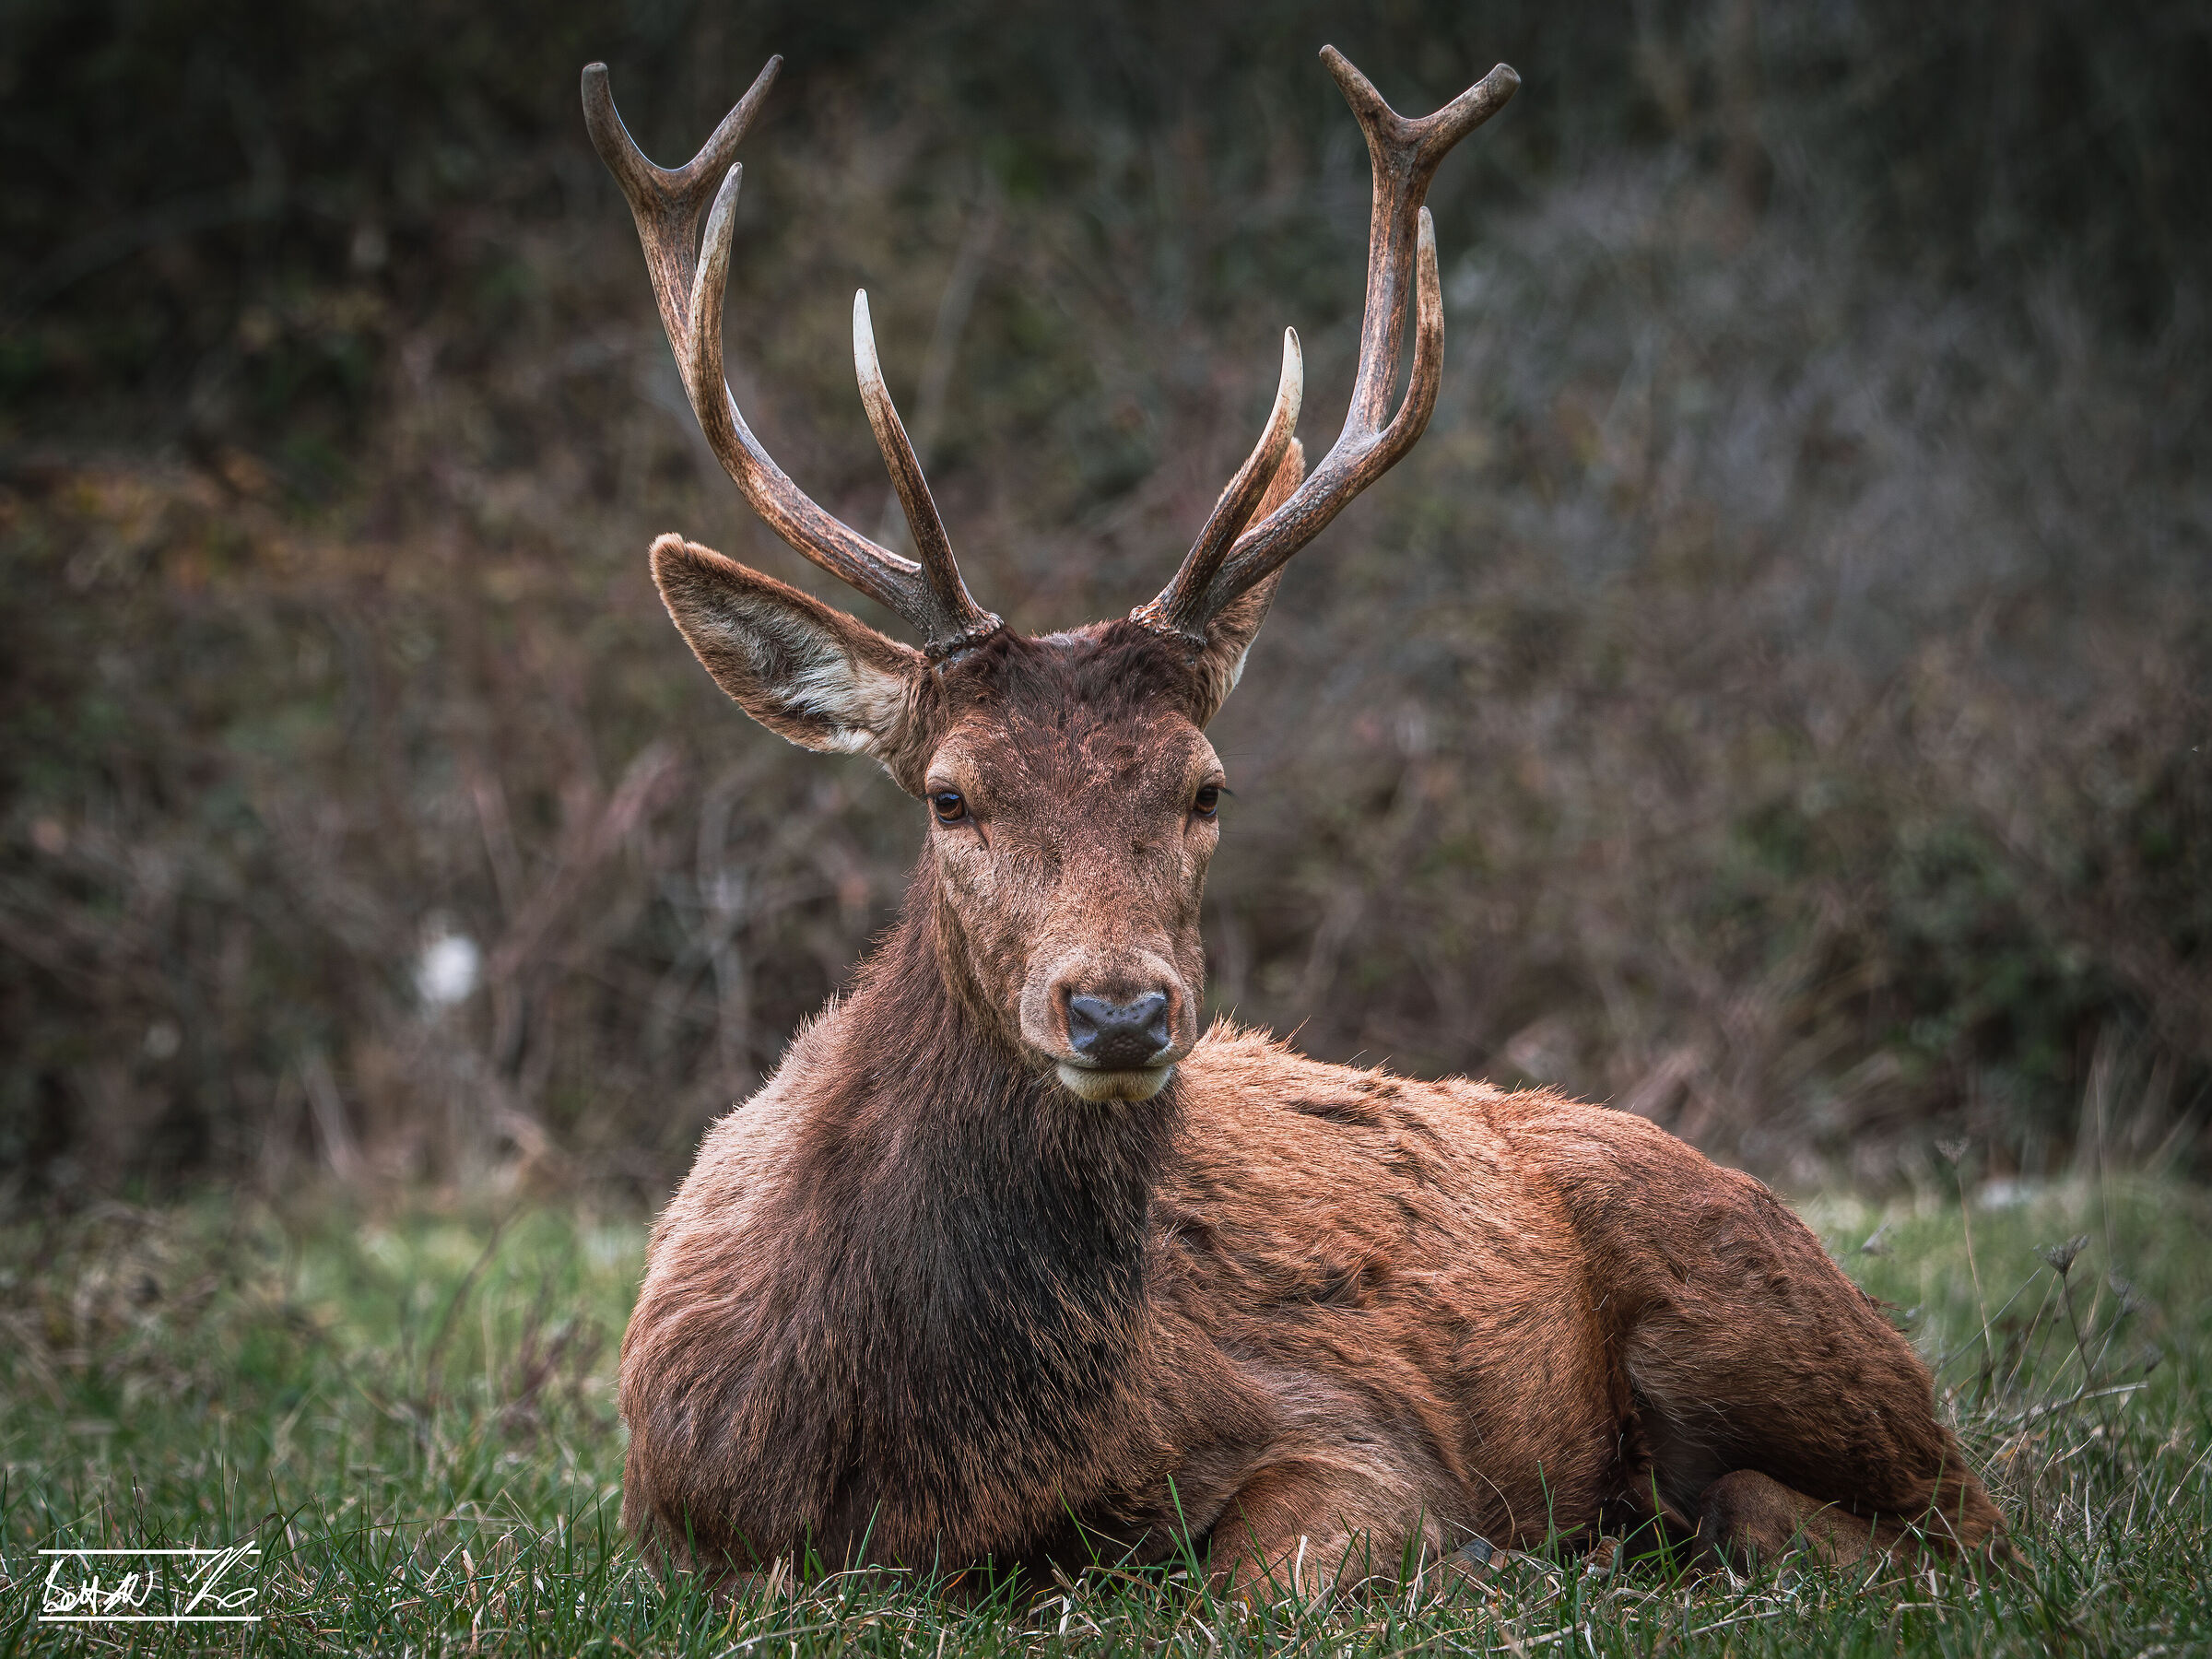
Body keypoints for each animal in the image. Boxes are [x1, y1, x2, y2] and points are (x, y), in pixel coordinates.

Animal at [582, 46, 2007, 1597]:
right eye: (951, 794)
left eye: (1206, 786)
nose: (1119, 1012)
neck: (925, 1472)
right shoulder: (675, 1522)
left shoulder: (1354, 1430)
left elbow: (1262, 1573)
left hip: (1764, 1302)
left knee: (1964, 1514)